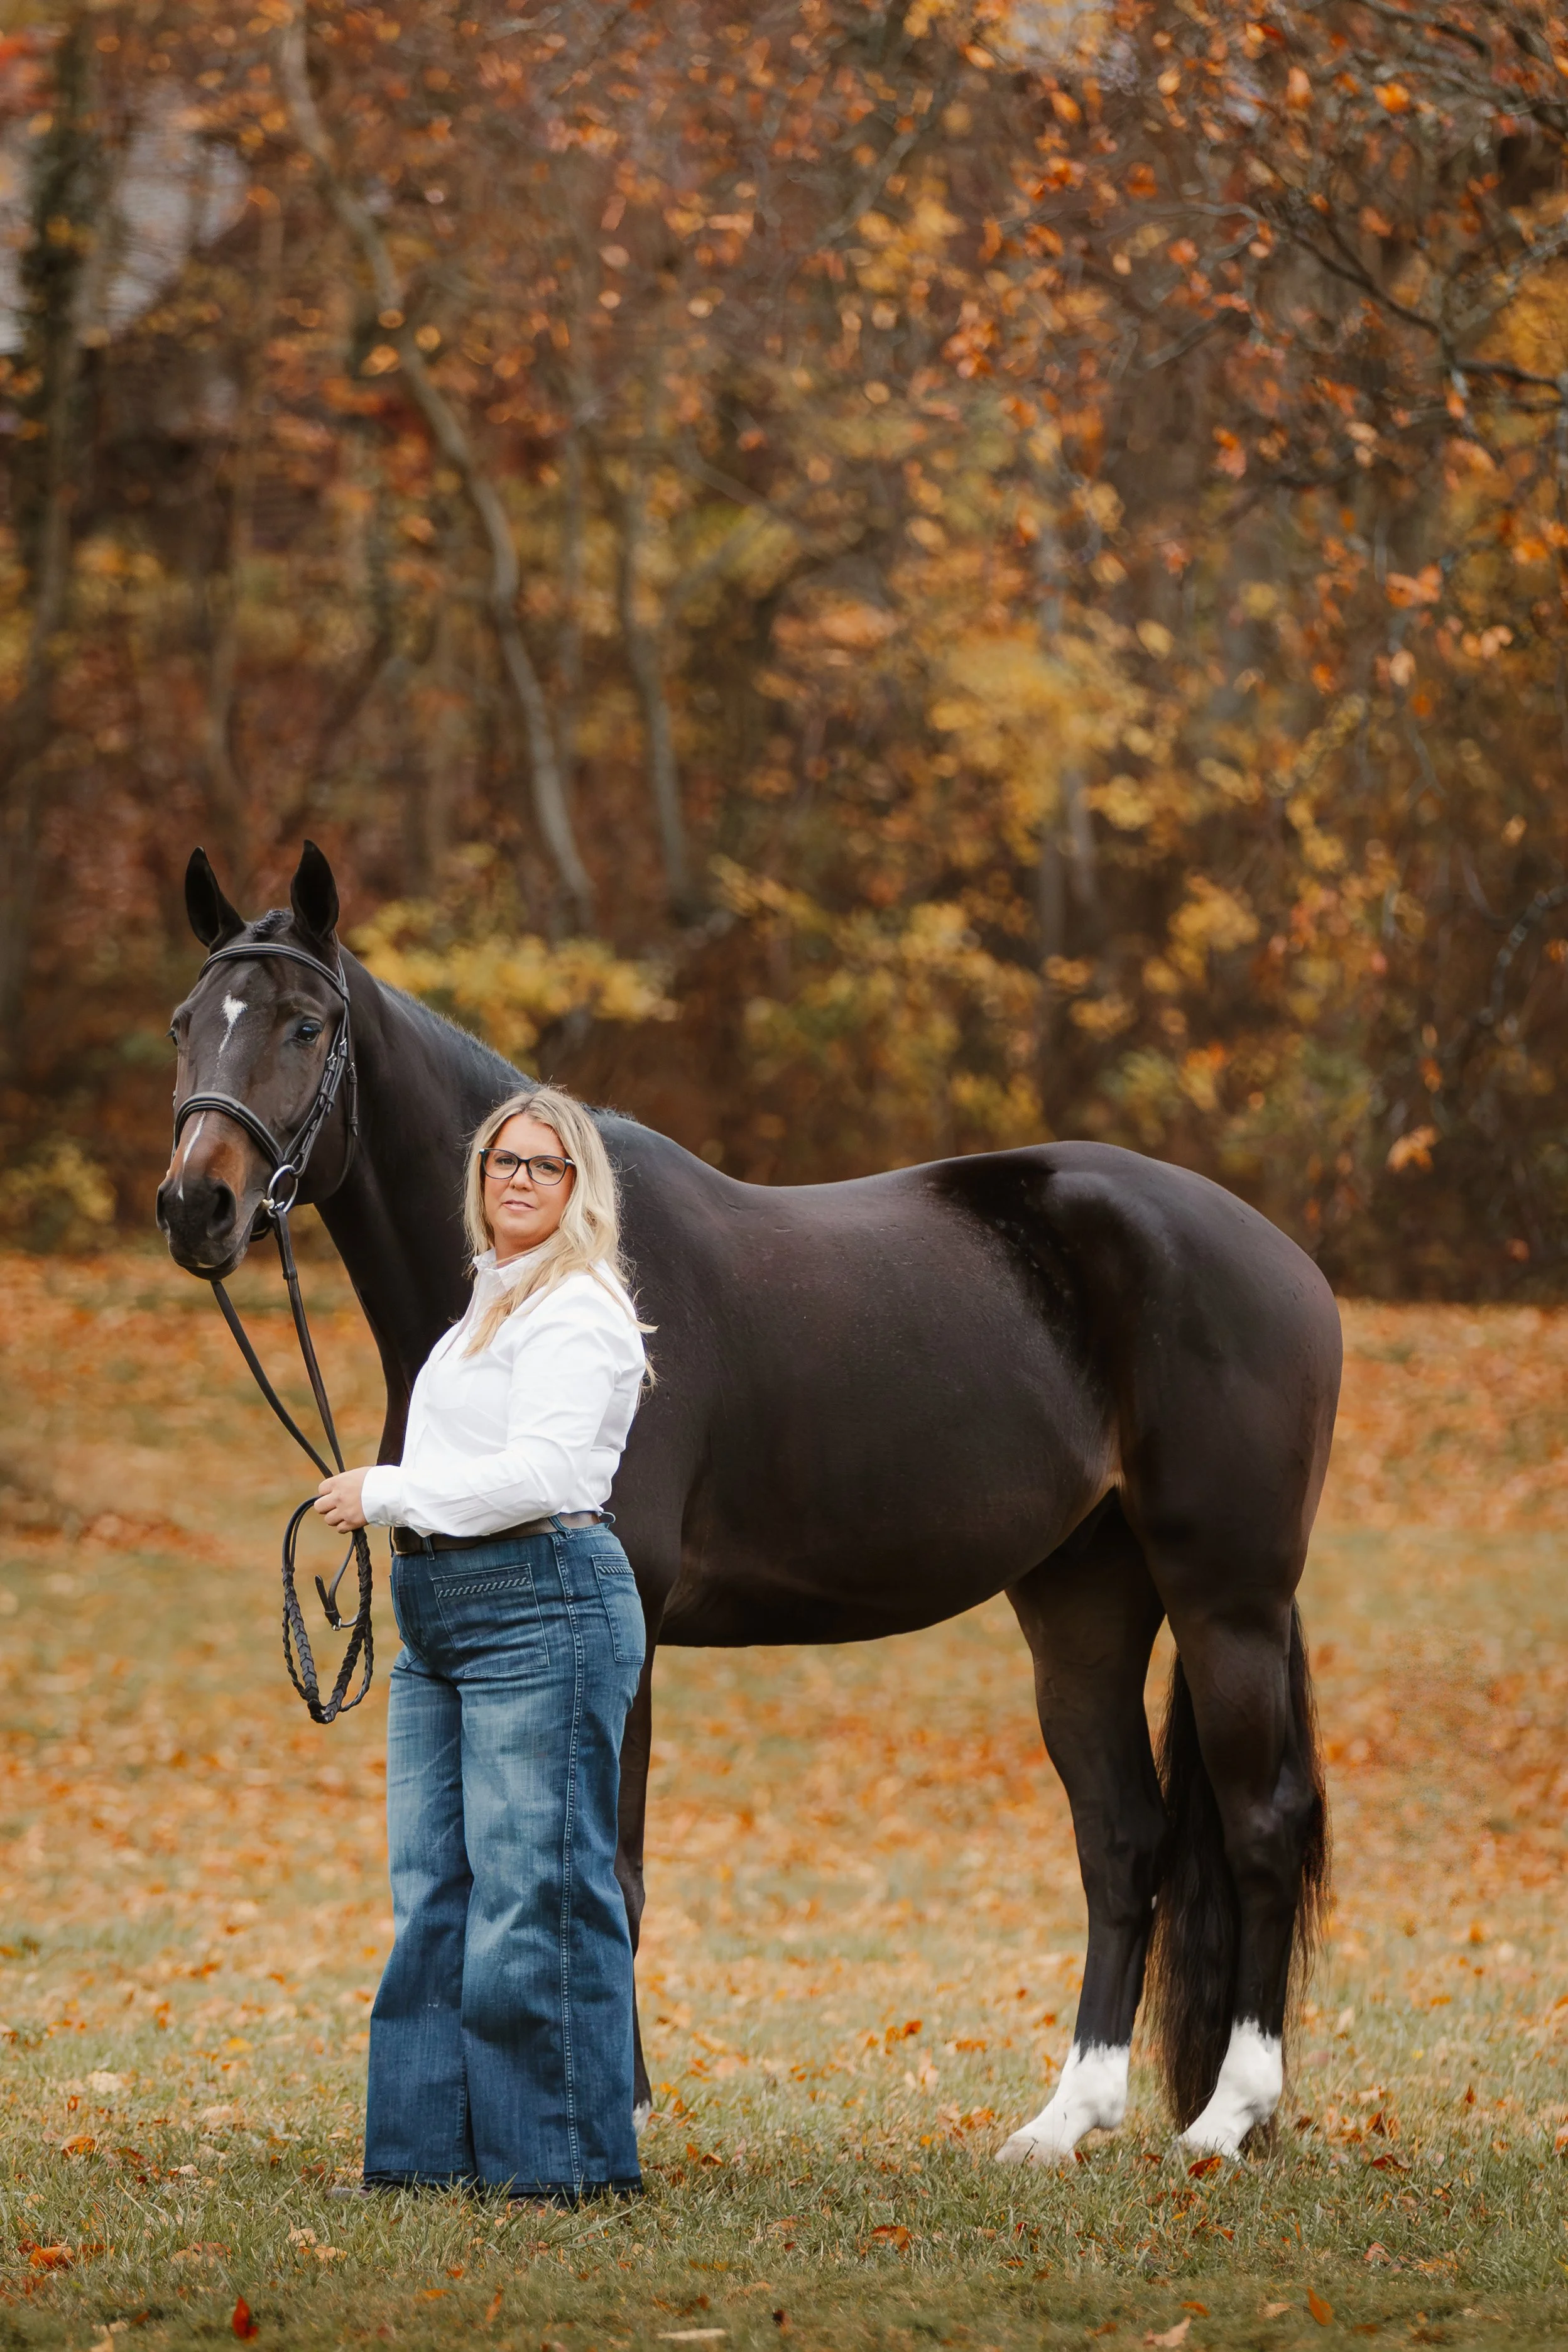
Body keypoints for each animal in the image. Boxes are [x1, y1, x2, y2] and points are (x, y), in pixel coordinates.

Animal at [157, 841, 1338, 2162]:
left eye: (305, 1024)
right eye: (186, 1023)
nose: (196, 1206)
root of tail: (1277, 1251)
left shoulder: (621, 1620)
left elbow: (605, 1863)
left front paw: (611, 2106)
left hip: (1226, 1596)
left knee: (1261, 1824)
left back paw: (1227, 2115)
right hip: (1083, 1596)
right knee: (1121, 1835)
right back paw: (1062, 2120)